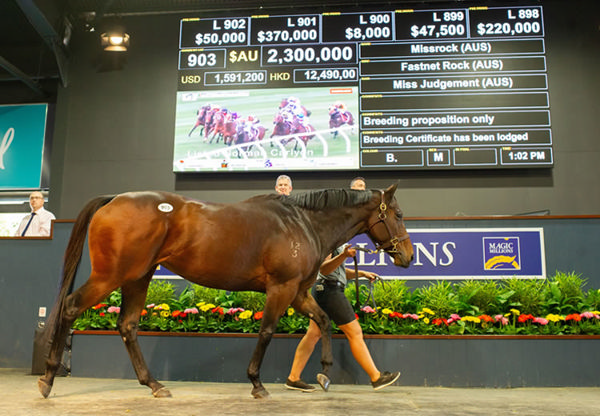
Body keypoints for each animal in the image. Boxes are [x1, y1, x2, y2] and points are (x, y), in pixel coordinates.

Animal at [37, 186, 412, 400]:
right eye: (398, 213)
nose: (407, 256)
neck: (300, 222)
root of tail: (114, 199)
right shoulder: (281, 288)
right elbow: (267, 332)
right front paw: (257, 384)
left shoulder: (298, 293)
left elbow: (323, 321)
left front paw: (323, 374)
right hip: (110, 276)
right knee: (70, 308)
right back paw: (48, 378)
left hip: (138, 277)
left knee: (127, 325)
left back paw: (155, 385)